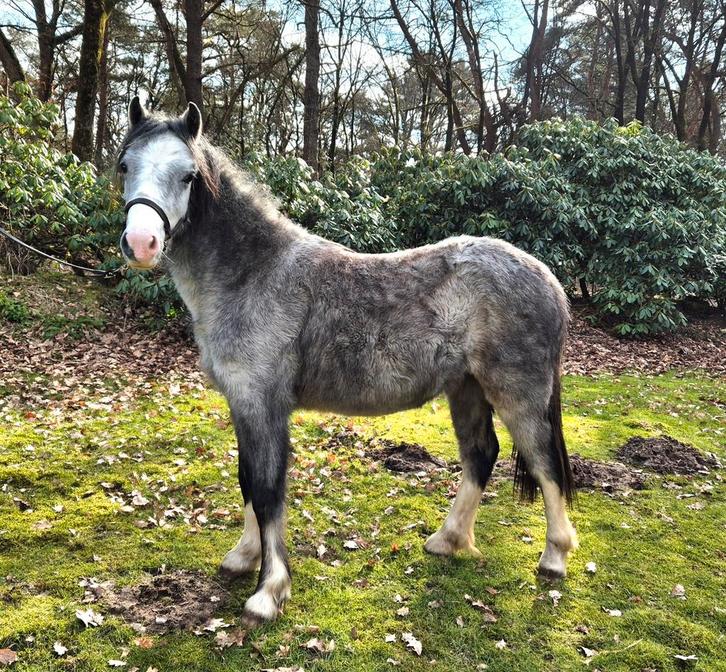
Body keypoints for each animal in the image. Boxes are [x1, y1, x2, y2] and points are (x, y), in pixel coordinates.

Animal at [117, 97, 577, 625]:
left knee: (544, 463)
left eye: (189, 175)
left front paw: (268, 591)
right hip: (467, 389)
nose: (142, 242)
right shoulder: (242, 405)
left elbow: (268, 489)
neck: (253, 274)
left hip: (517, 393)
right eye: (125, 165)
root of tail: (550, 280)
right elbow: (248, 482)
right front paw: (244, 556)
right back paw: (447, 540)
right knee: (481, 456)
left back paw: (554, 557)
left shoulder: (264, 404)